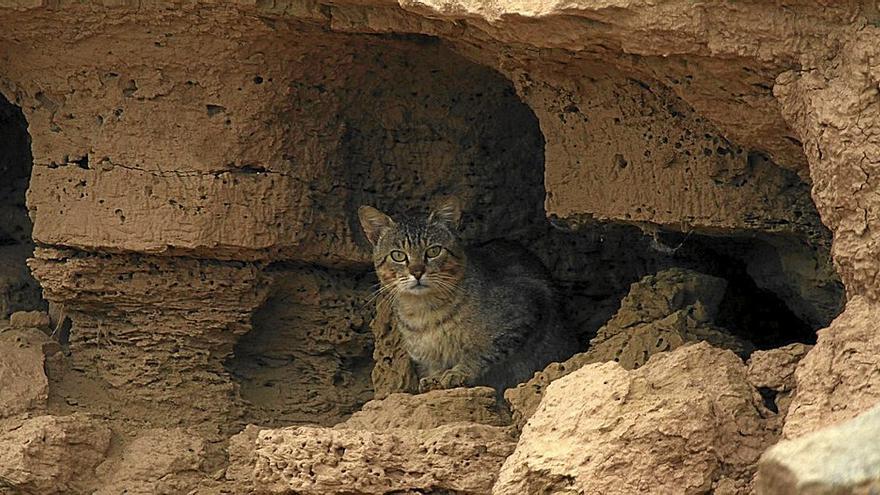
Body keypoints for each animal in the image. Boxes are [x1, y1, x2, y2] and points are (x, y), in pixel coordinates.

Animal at [360, 198, 576, 396]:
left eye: (433, 251)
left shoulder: (522, 313)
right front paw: (435, 378)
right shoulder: (427, 358)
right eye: (397, 255)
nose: (417, 272)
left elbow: (480, 351)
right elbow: (435, 368)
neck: (424, 312)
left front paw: (458, 372)